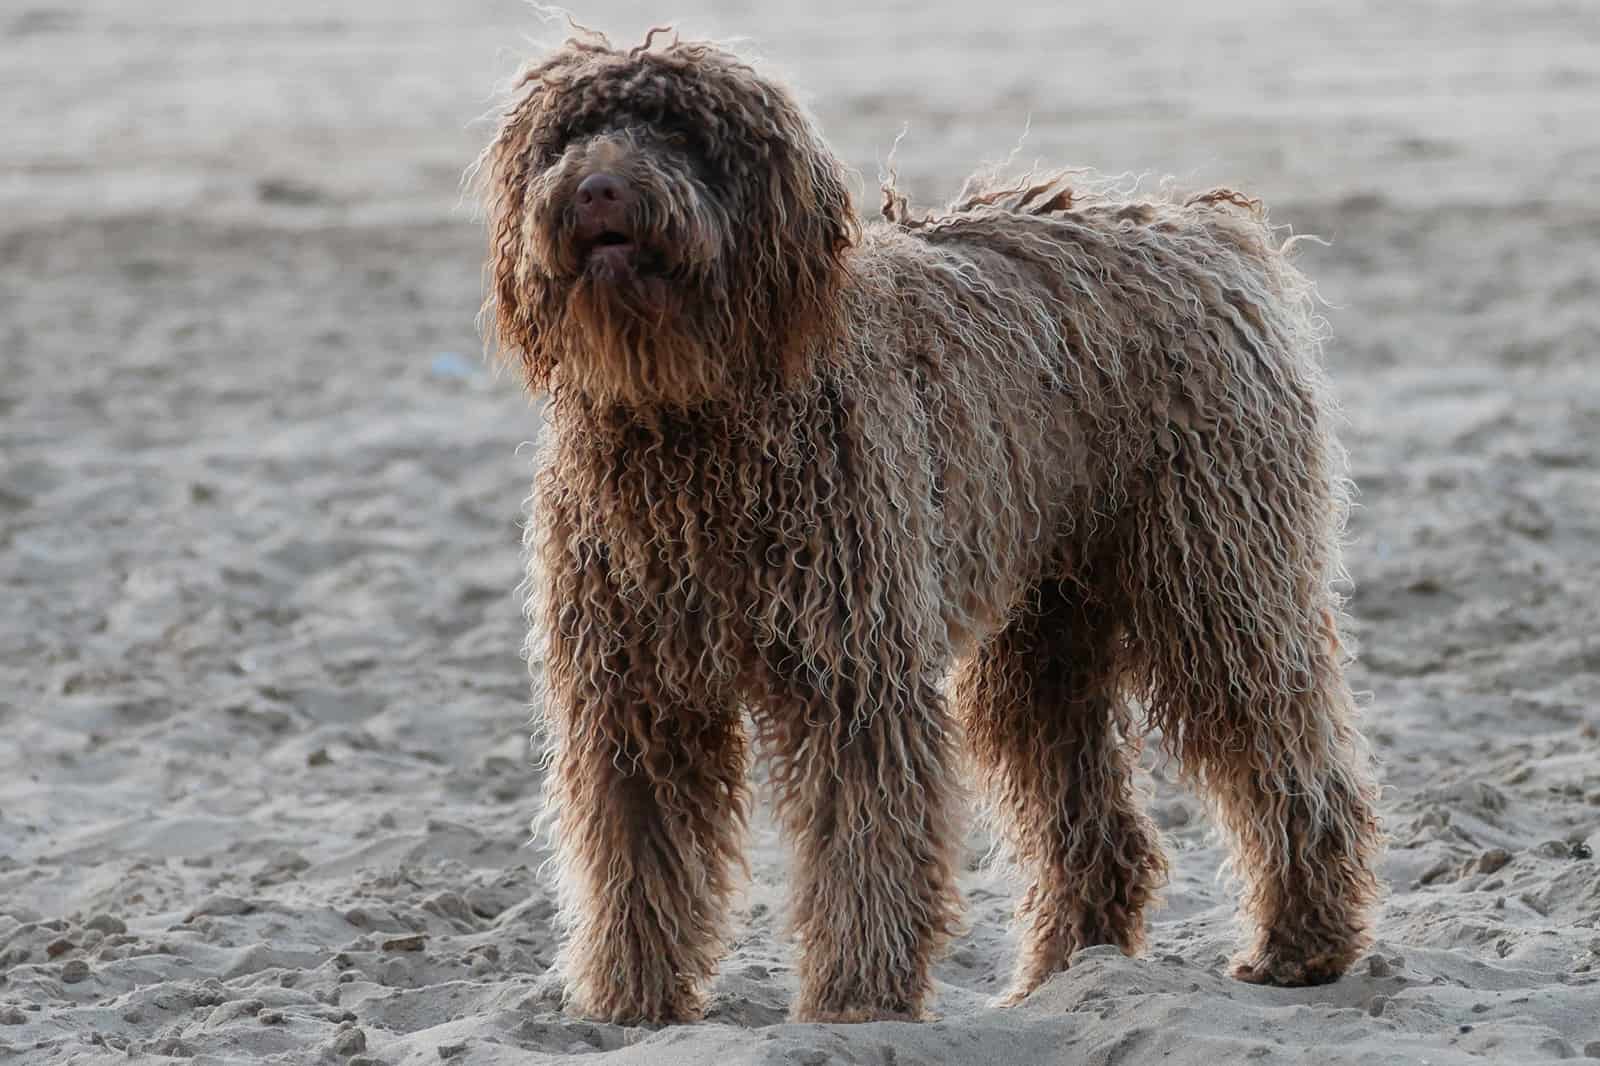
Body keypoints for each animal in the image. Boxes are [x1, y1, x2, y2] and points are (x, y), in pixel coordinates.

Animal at [476, 24, 1388, 1024]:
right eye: (567, 135)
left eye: (680, 130)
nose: (597, 187)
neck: (689, 419)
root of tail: (1208, 231)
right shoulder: (634, 692)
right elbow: (635, 853)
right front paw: (631, 1004)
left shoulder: (850, 676)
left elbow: (862, 841)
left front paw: (855, 999)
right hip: (1047, 633)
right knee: (1092, 823)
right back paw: (1062, 974)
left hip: (1216, 578)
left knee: (1285, 751)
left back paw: (1301, 942)